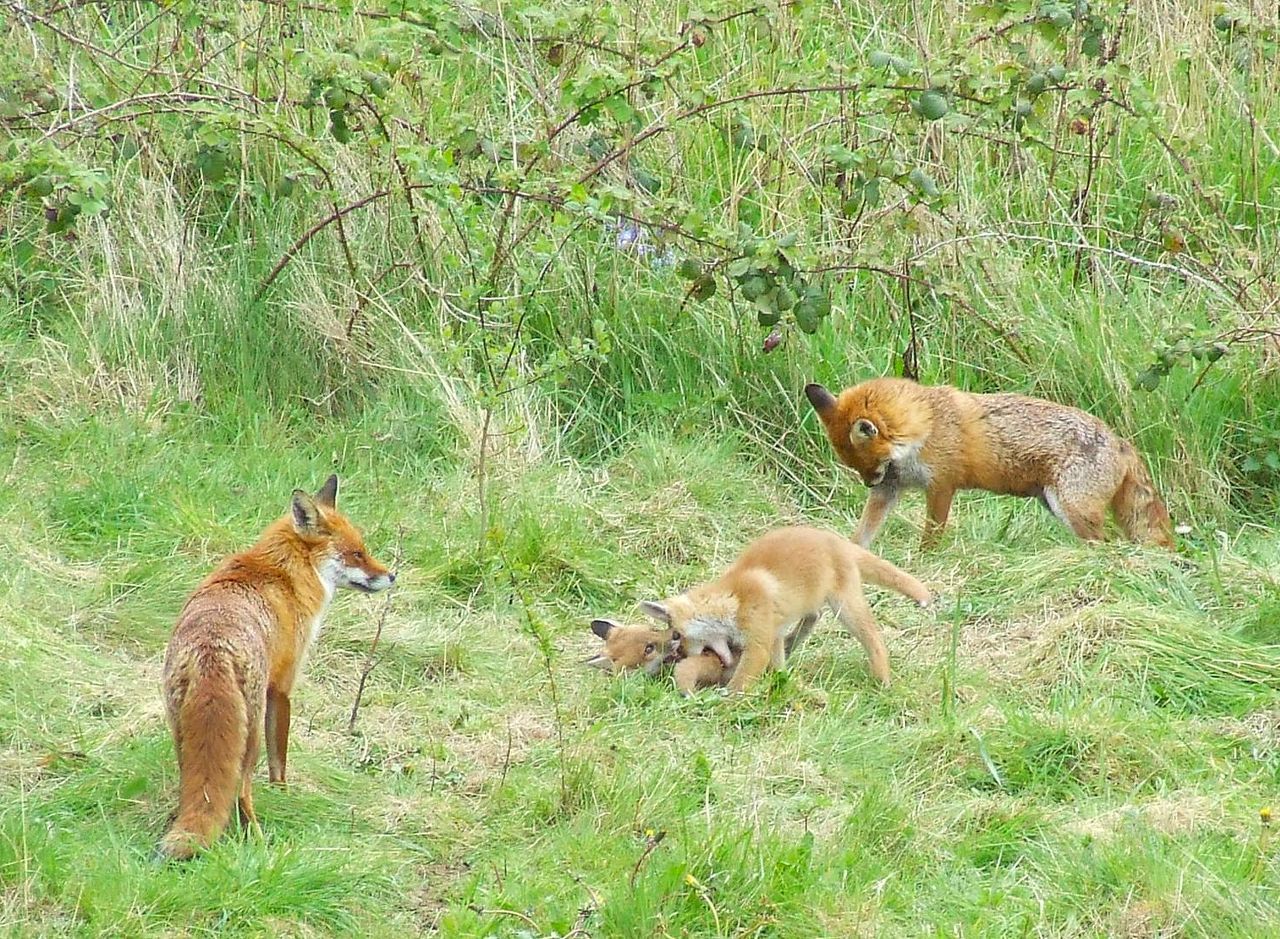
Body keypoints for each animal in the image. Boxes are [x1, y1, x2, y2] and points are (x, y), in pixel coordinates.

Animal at [158, 473, 391, 864]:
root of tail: (211, 651)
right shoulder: (281, 687)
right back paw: (257, 842)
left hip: (181, 730)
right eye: (357, 553)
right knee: (241, 791)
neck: (285, 574)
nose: (392, 576)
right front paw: (285, 798)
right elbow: (279, 762)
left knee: (194, 785)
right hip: (248, 737)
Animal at [640, 529, 931, 690]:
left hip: (846, 607)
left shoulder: (759, 640)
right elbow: (778, 665)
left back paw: (883, 680)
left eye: (676, 635)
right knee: (814, 616)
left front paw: (728, 700)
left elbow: (744, 678)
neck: (733, 598)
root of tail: (836, 539)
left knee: (874, 638)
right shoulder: (774, 632)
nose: (679, 656)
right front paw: (783, 680)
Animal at [803, 376, 1172, 552]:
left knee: (1107, 545)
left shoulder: (942, 485)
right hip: (1057, 506)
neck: (927, 427)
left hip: (1072, 509)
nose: (868, 483)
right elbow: (862, 534)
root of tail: (1120, 441)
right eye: (854, 466)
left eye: (869, 463)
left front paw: (925, 560)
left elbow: (931, 535)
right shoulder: (890, 490)